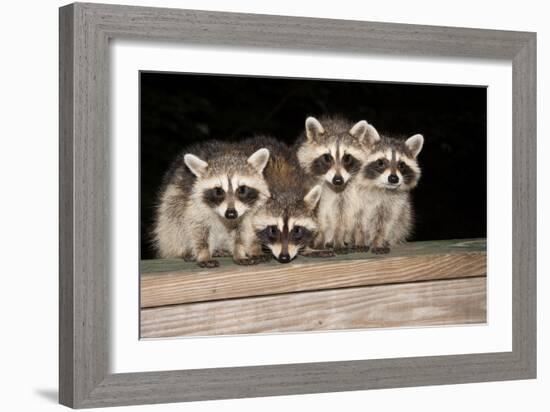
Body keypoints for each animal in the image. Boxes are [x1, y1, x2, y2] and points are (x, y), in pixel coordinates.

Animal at [298, 115, 380, 251]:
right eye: (327, 157)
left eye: (347, 158)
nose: (338, 180)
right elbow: (317, 213)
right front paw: (319, 239)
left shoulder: (347, 192)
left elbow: (341, 215)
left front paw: (338, 238)